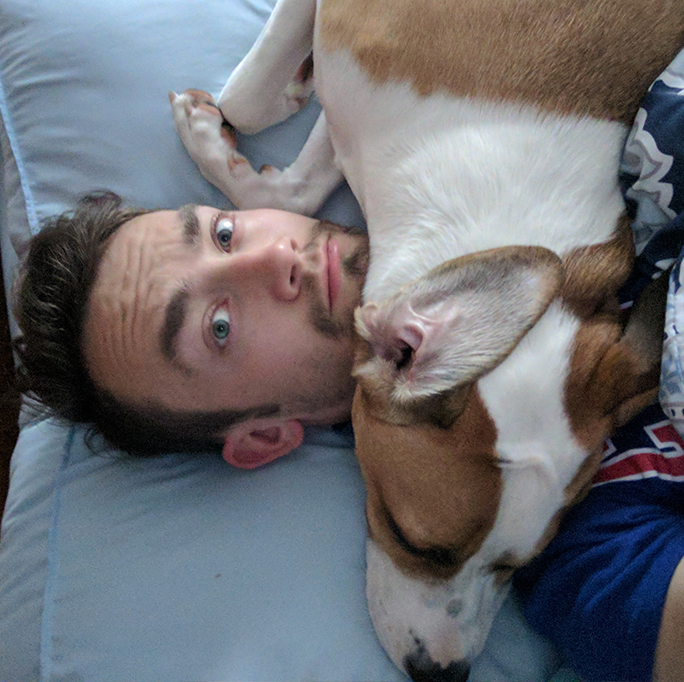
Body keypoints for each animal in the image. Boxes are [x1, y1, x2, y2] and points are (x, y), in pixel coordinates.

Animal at [170, 1, 684, 679]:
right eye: (410, 538)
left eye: (520, 567)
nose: (443, 672)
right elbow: (252, 105)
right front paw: (264, 97)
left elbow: (287, 172)